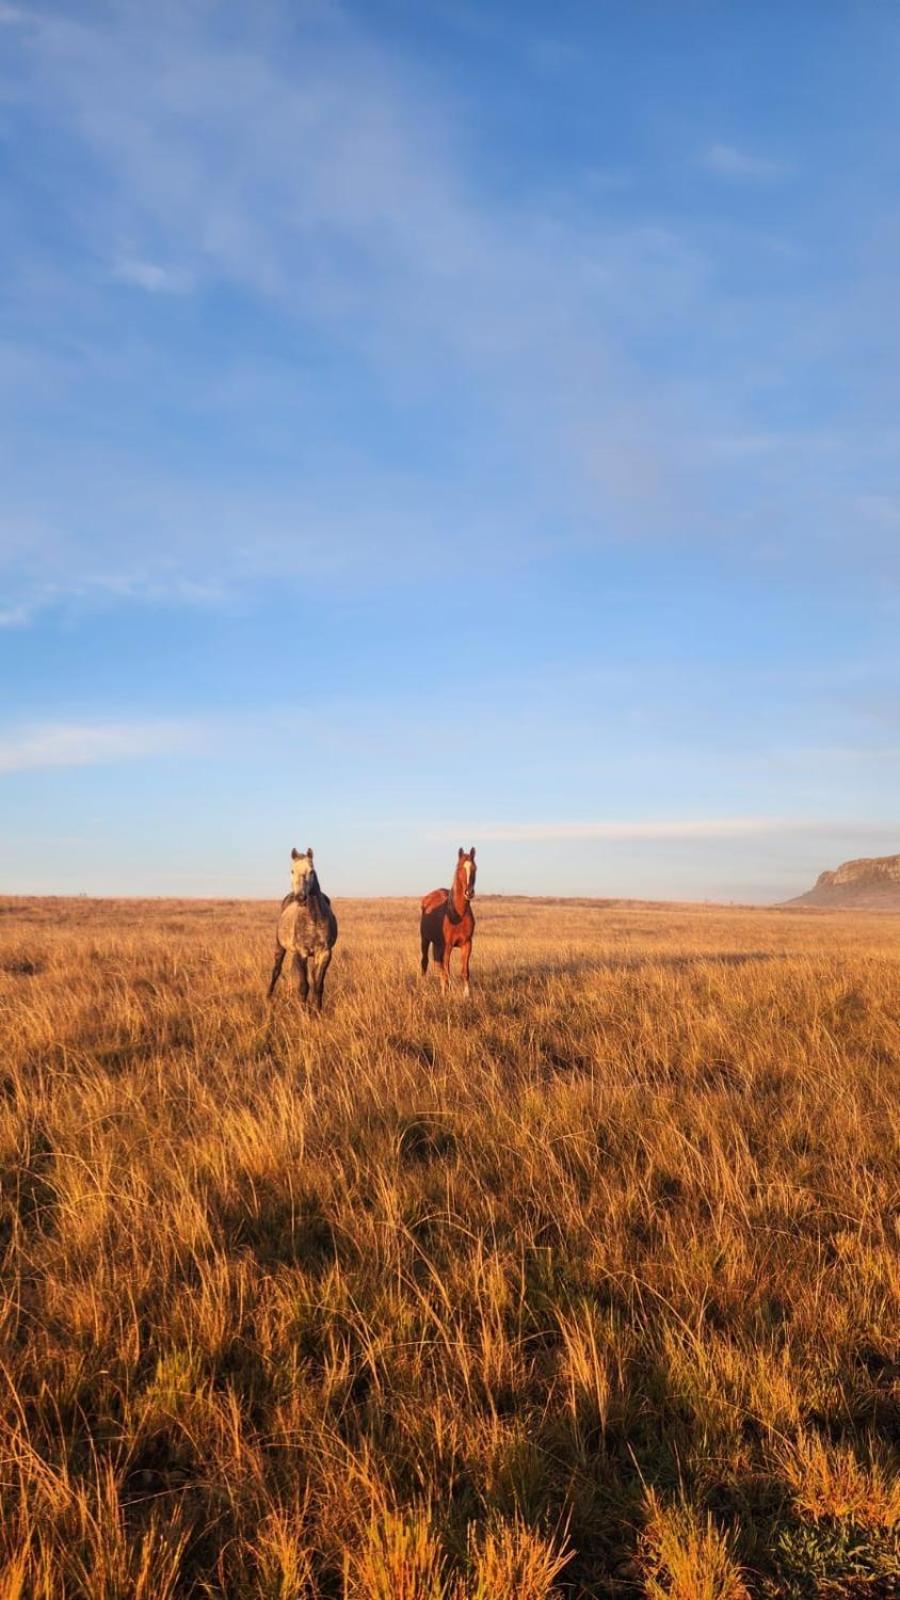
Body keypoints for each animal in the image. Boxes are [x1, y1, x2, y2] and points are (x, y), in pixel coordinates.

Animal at [419, 851, 477, 985]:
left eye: (474, 868)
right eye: (459, 868)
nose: (469, 892)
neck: (457, 915)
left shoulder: (467, 944)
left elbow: (464, 973)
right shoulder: (448, 946)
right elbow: (447, 974)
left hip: (437, 944)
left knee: (439, 967)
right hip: (425, 939)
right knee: (425, 962)